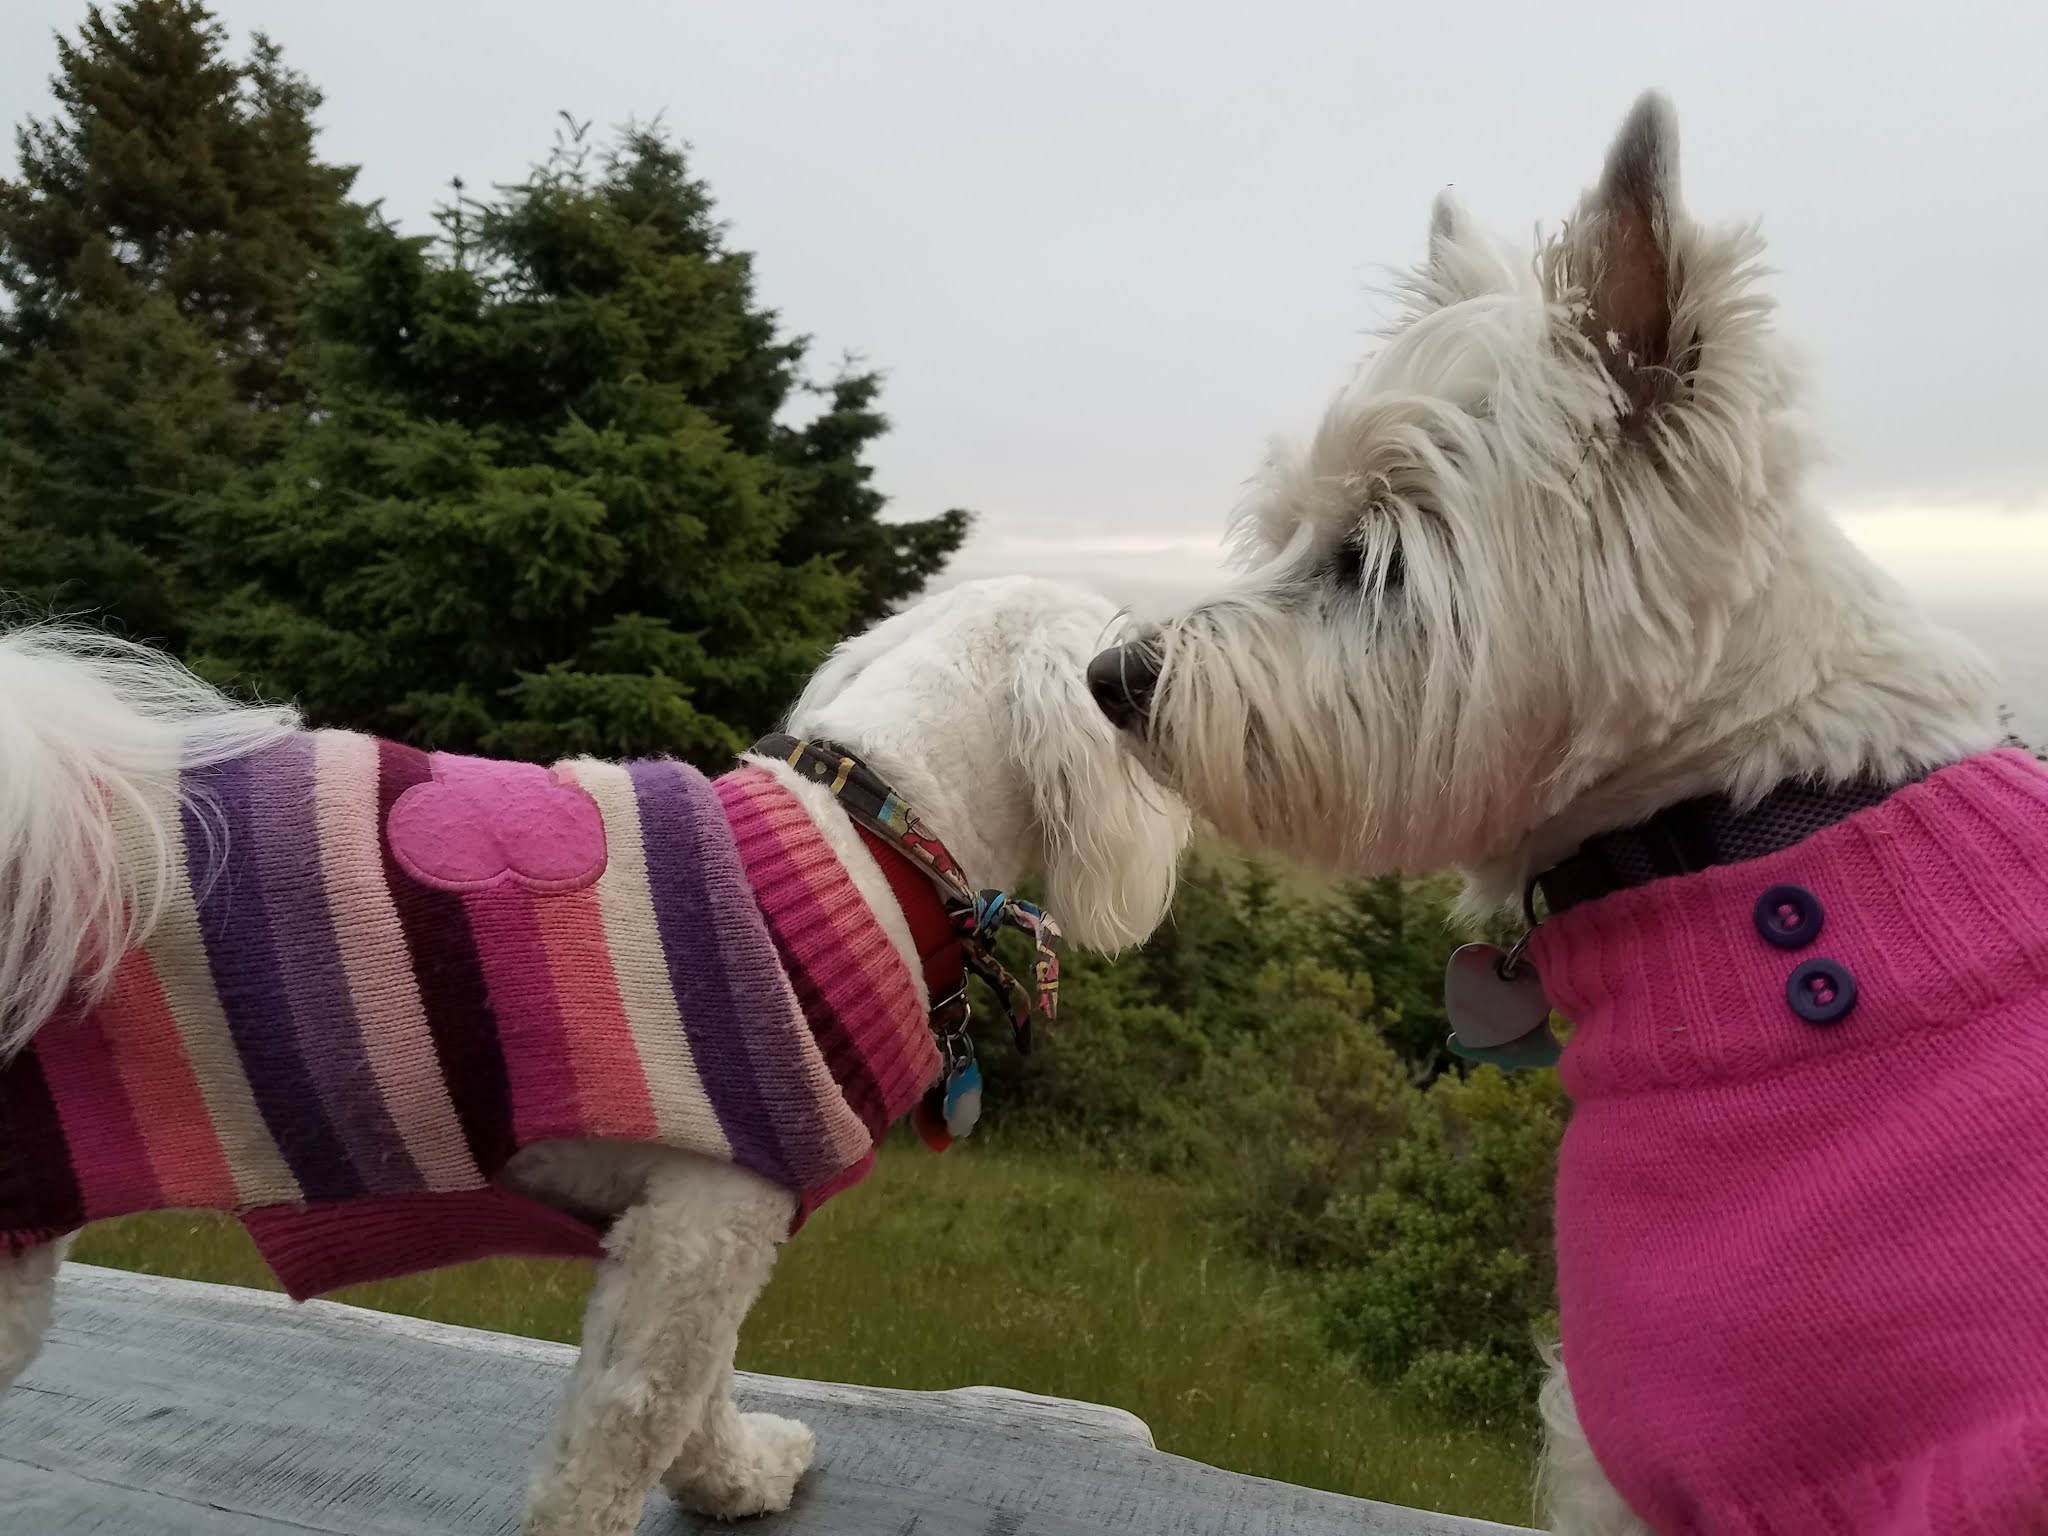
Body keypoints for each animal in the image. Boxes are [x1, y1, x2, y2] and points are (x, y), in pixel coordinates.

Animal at [0, 574, 1188, 1536]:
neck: (871, 842)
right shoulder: (698, 1229)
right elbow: (623, 1441)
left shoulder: (709, 1222)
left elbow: (703, 1393)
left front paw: (738, 1476)